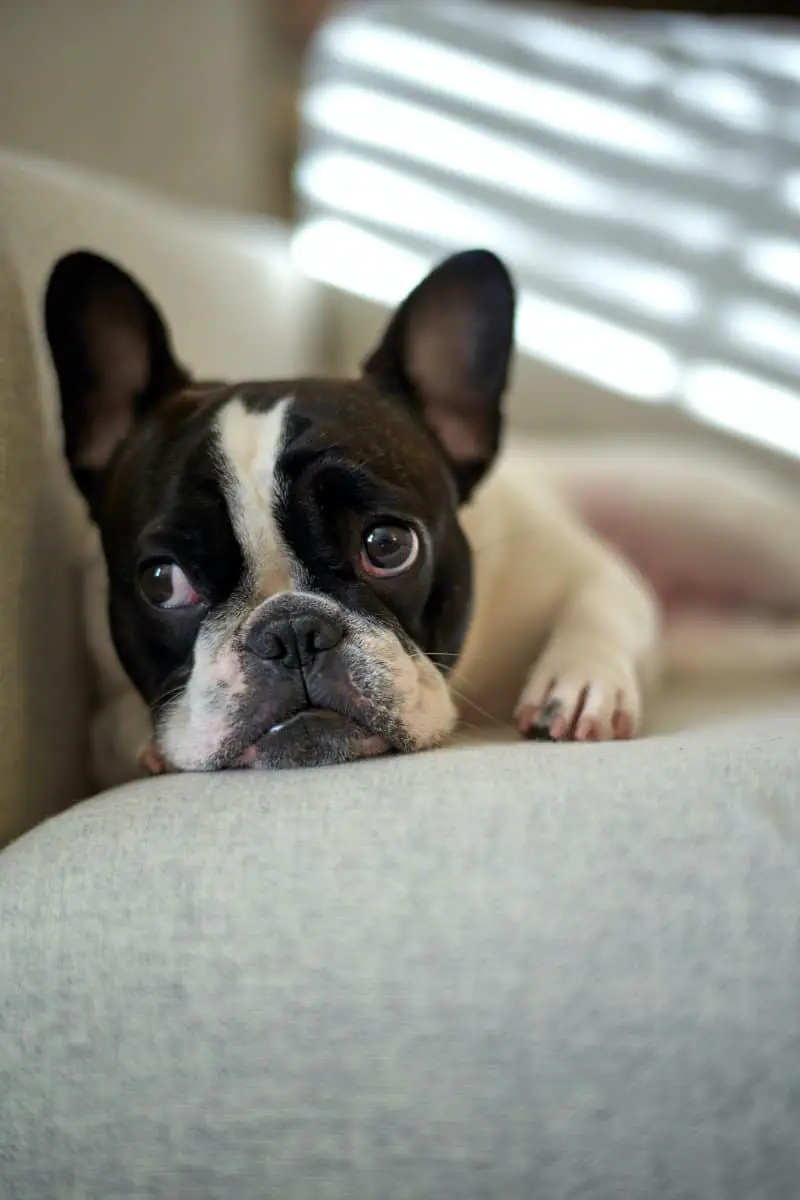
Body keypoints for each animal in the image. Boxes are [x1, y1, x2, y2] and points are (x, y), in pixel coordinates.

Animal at [45, 246, 800, 787]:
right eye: (161, 582)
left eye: (387, 544)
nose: (291, 631)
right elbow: (106, 724)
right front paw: (142, 736)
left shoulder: (582, 567)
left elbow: (604, 601)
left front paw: (581, 684)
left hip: (721, 521)